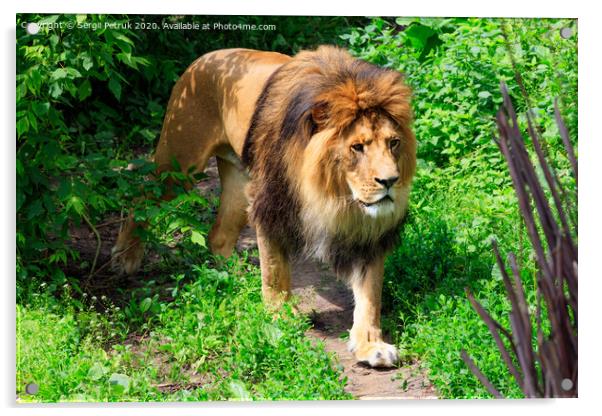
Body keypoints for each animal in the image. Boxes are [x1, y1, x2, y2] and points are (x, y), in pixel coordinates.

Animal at [111, 46, 412, 368]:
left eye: (393, 143)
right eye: (357, 147)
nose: (390, 181)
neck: (332, 192)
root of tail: (207, 57)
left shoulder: (369, 230)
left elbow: (370, 293)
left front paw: (371, 345)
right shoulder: (270, 203)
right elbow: (274, 267)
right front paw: (280, 314)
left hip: (238, 182)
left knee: (218, 236)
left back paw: (235, 278)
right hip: (179, 164)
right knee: (142, 198)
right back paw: (125, 256)